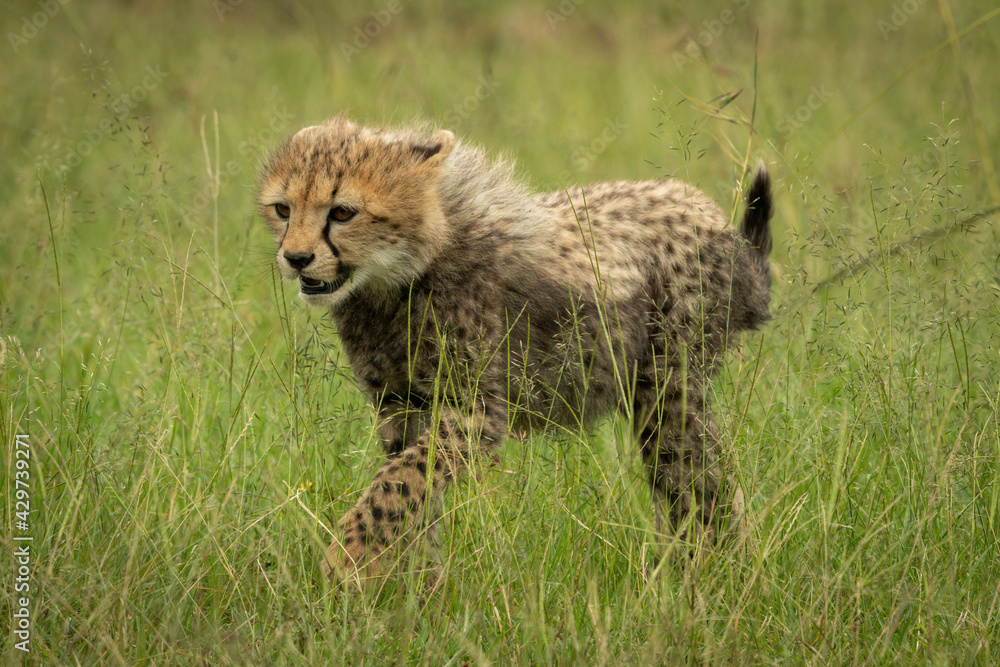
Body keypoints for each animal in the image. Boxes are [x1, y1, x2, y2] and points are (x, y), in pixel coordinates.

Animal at [256, 116, 773, 587]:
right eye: (283, 209)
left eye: (342, 213)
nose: (296, 258)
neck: (400, 275)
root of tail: (707, 212)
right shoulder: (401, 406)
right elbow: (411, 490)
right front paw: (417, 583)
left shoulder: (474, 411)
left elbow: (396, 484)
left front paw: (347, 557)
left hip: (668, 391)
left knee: (702, 481)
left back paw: (715, 576)